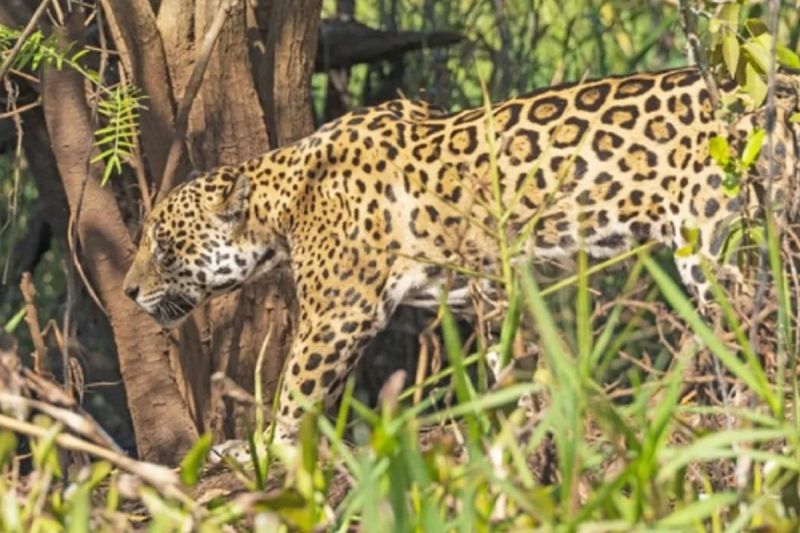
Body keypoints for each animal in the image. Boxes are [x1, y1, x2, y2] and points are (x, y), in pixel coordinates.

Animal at [123, 67, 800, 444]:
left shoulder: (337, 315)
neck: (283, 201)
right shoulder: (501, 286)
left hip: (717, 247)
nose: (127, 292)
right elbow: (522, 358)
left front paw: (264, 449)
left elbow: (296, 392)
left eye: (160, 244)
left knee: (764, 329)